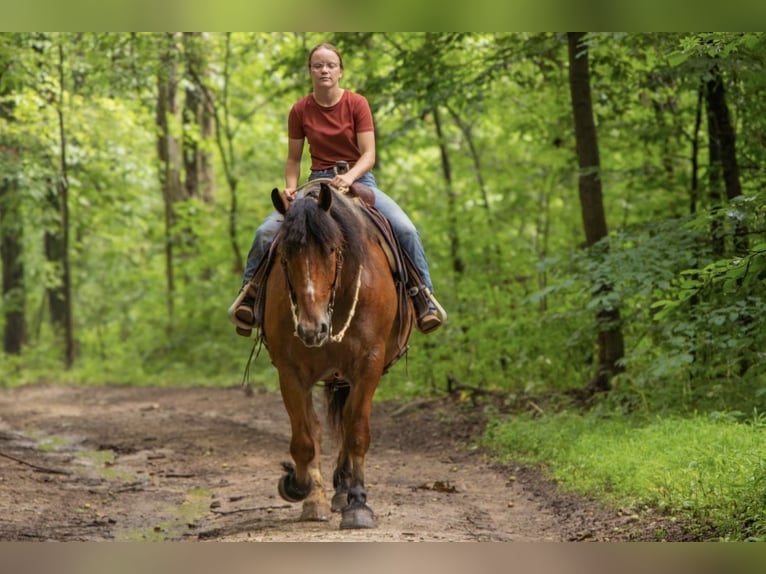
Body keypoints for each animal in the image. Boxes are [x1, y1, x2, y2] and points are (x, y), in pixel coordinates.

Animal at [260, 181, 414, 532]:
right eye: (285, 256)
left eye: (332, 250)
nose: (311, 328)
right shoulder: (290, 371)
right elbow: (305, 438)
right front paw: (300, 488)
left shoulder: (368, 364)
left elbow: (356, 432)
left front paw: (357, 504)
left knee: (346, 422)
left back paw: (344, 491)